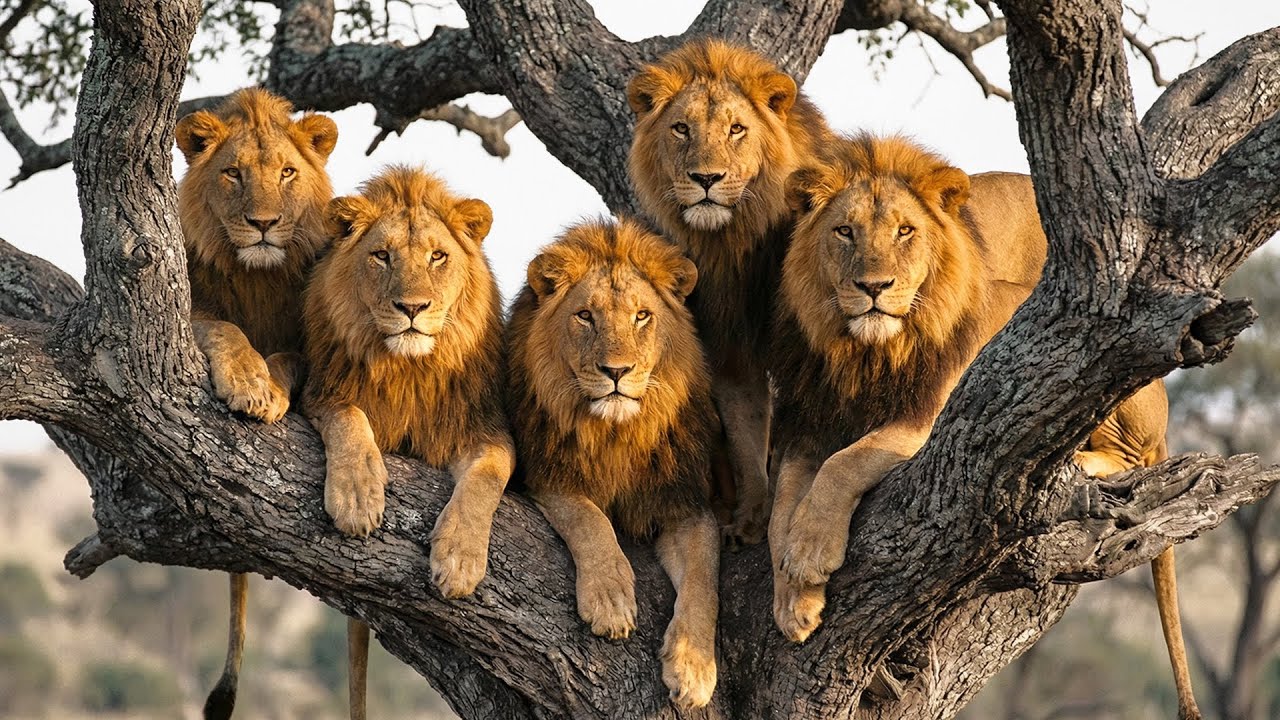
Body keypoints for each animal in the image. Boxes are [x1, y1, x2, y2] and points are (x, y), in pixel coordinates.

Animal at [174, 87, 338, 720]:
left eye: (288, 173)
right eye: (234, 174)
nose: (264, 224)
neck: (257, 275)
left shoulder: (309, 344)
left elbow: (288, 360)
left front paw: (270, 390)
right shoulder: (190, 302)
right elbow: (225, 329)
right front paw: (247, 382)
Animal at [302, 166, 513, 720]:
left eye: (437, 256)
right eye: (382, 256)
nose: (413, 308)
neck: (409, 369)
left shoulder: (483, 427)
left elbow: (488, 476)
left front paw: (459, 559)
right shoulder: (324, 391)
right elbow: (351, 421)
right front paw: (357, 497)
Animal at [507, 217, 721, 708]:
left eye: (642, 316)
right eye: (586, 316)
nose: (617, 372)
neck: (617, 435)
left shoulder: (685, 503)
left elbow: (705, 578)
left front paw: (694, 667)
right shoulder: (549, 475)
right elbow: (590, 520)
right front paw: (610, 600)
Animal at [627, 39, 835, 546]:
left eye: (736, 129)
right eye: (681, 129)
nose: (706, 179)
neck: (734, 244)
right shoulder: (730, 349)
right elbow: (746, 437)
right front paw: (751, 517)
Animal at [768, 133, 1200, 720]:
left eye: (905, 231)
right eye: (844, 231)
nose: (874, 286)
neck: (866, 353)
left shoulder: (927, 424)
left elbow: (844, 464)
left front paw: (811, 556)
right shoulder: (810, 431)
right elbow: (780, 513)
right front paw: (794, 600)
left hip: (1100, 368)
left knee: (1126, 454)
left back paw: (1075, 462)